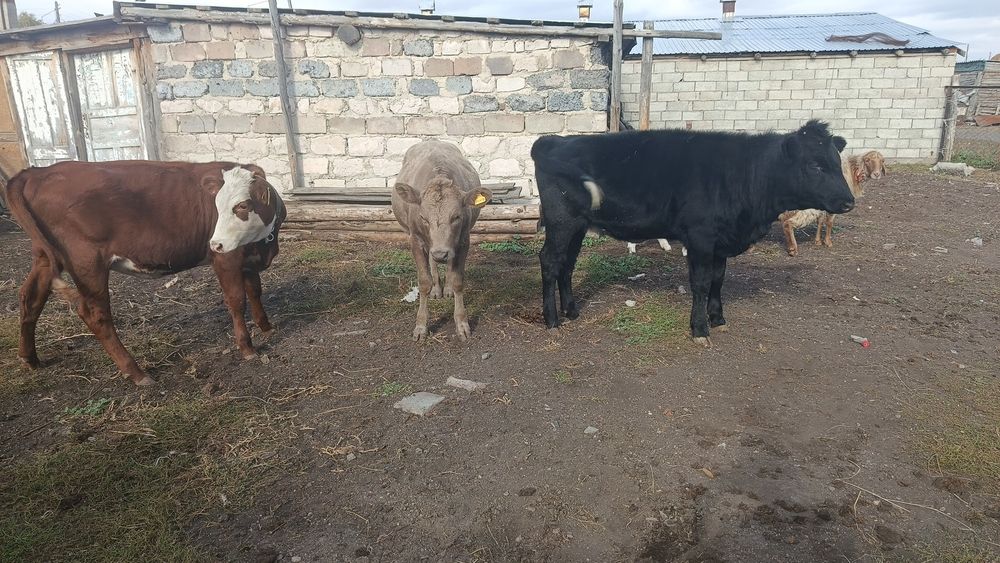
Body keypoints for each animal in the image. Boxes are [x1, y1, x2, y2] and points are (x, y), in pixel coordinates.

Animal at [4, 160, 286, 385]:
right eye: (217, 205)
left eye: (242, 206)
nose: (214, 242)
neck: (262, 242)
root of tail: (37, 171)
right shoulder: (226, 257)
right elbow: (237, 300)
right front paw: (247, 347)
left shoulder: (247, 257)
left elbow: (255, 290)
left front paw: (266, 326)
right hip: (87, 262)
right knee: (94, 314)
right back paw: (136, 372)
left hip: (46, 257)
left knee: (30, 298)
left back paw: (29, 358)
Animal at [392, 141, 492, 342]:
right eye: (423, 217)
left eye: (456, 216)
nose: (441, 253)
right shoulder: (415, 239)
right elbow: (424, 282)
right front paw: (421, 326)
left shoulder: (463, 240)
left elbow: (458, 280)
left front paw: (462, 324)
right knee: (432, 262)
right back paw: (437, 289)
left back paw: (447, 289)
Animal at [532, 120, 855, 346]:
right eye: (815, 165)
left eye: (837, 163)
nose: (849, 202)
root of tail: (552, 140)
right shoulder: (700, 237)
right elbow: (699, 283)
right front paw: (700, 328)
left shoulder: (720, 241)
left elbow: (718, 279)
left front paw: (718, 317)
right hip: (562, 221)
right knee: (550, 261)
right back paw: (552, 319)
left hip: (578, 226)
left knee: (567, 265)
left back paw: (572, 311)